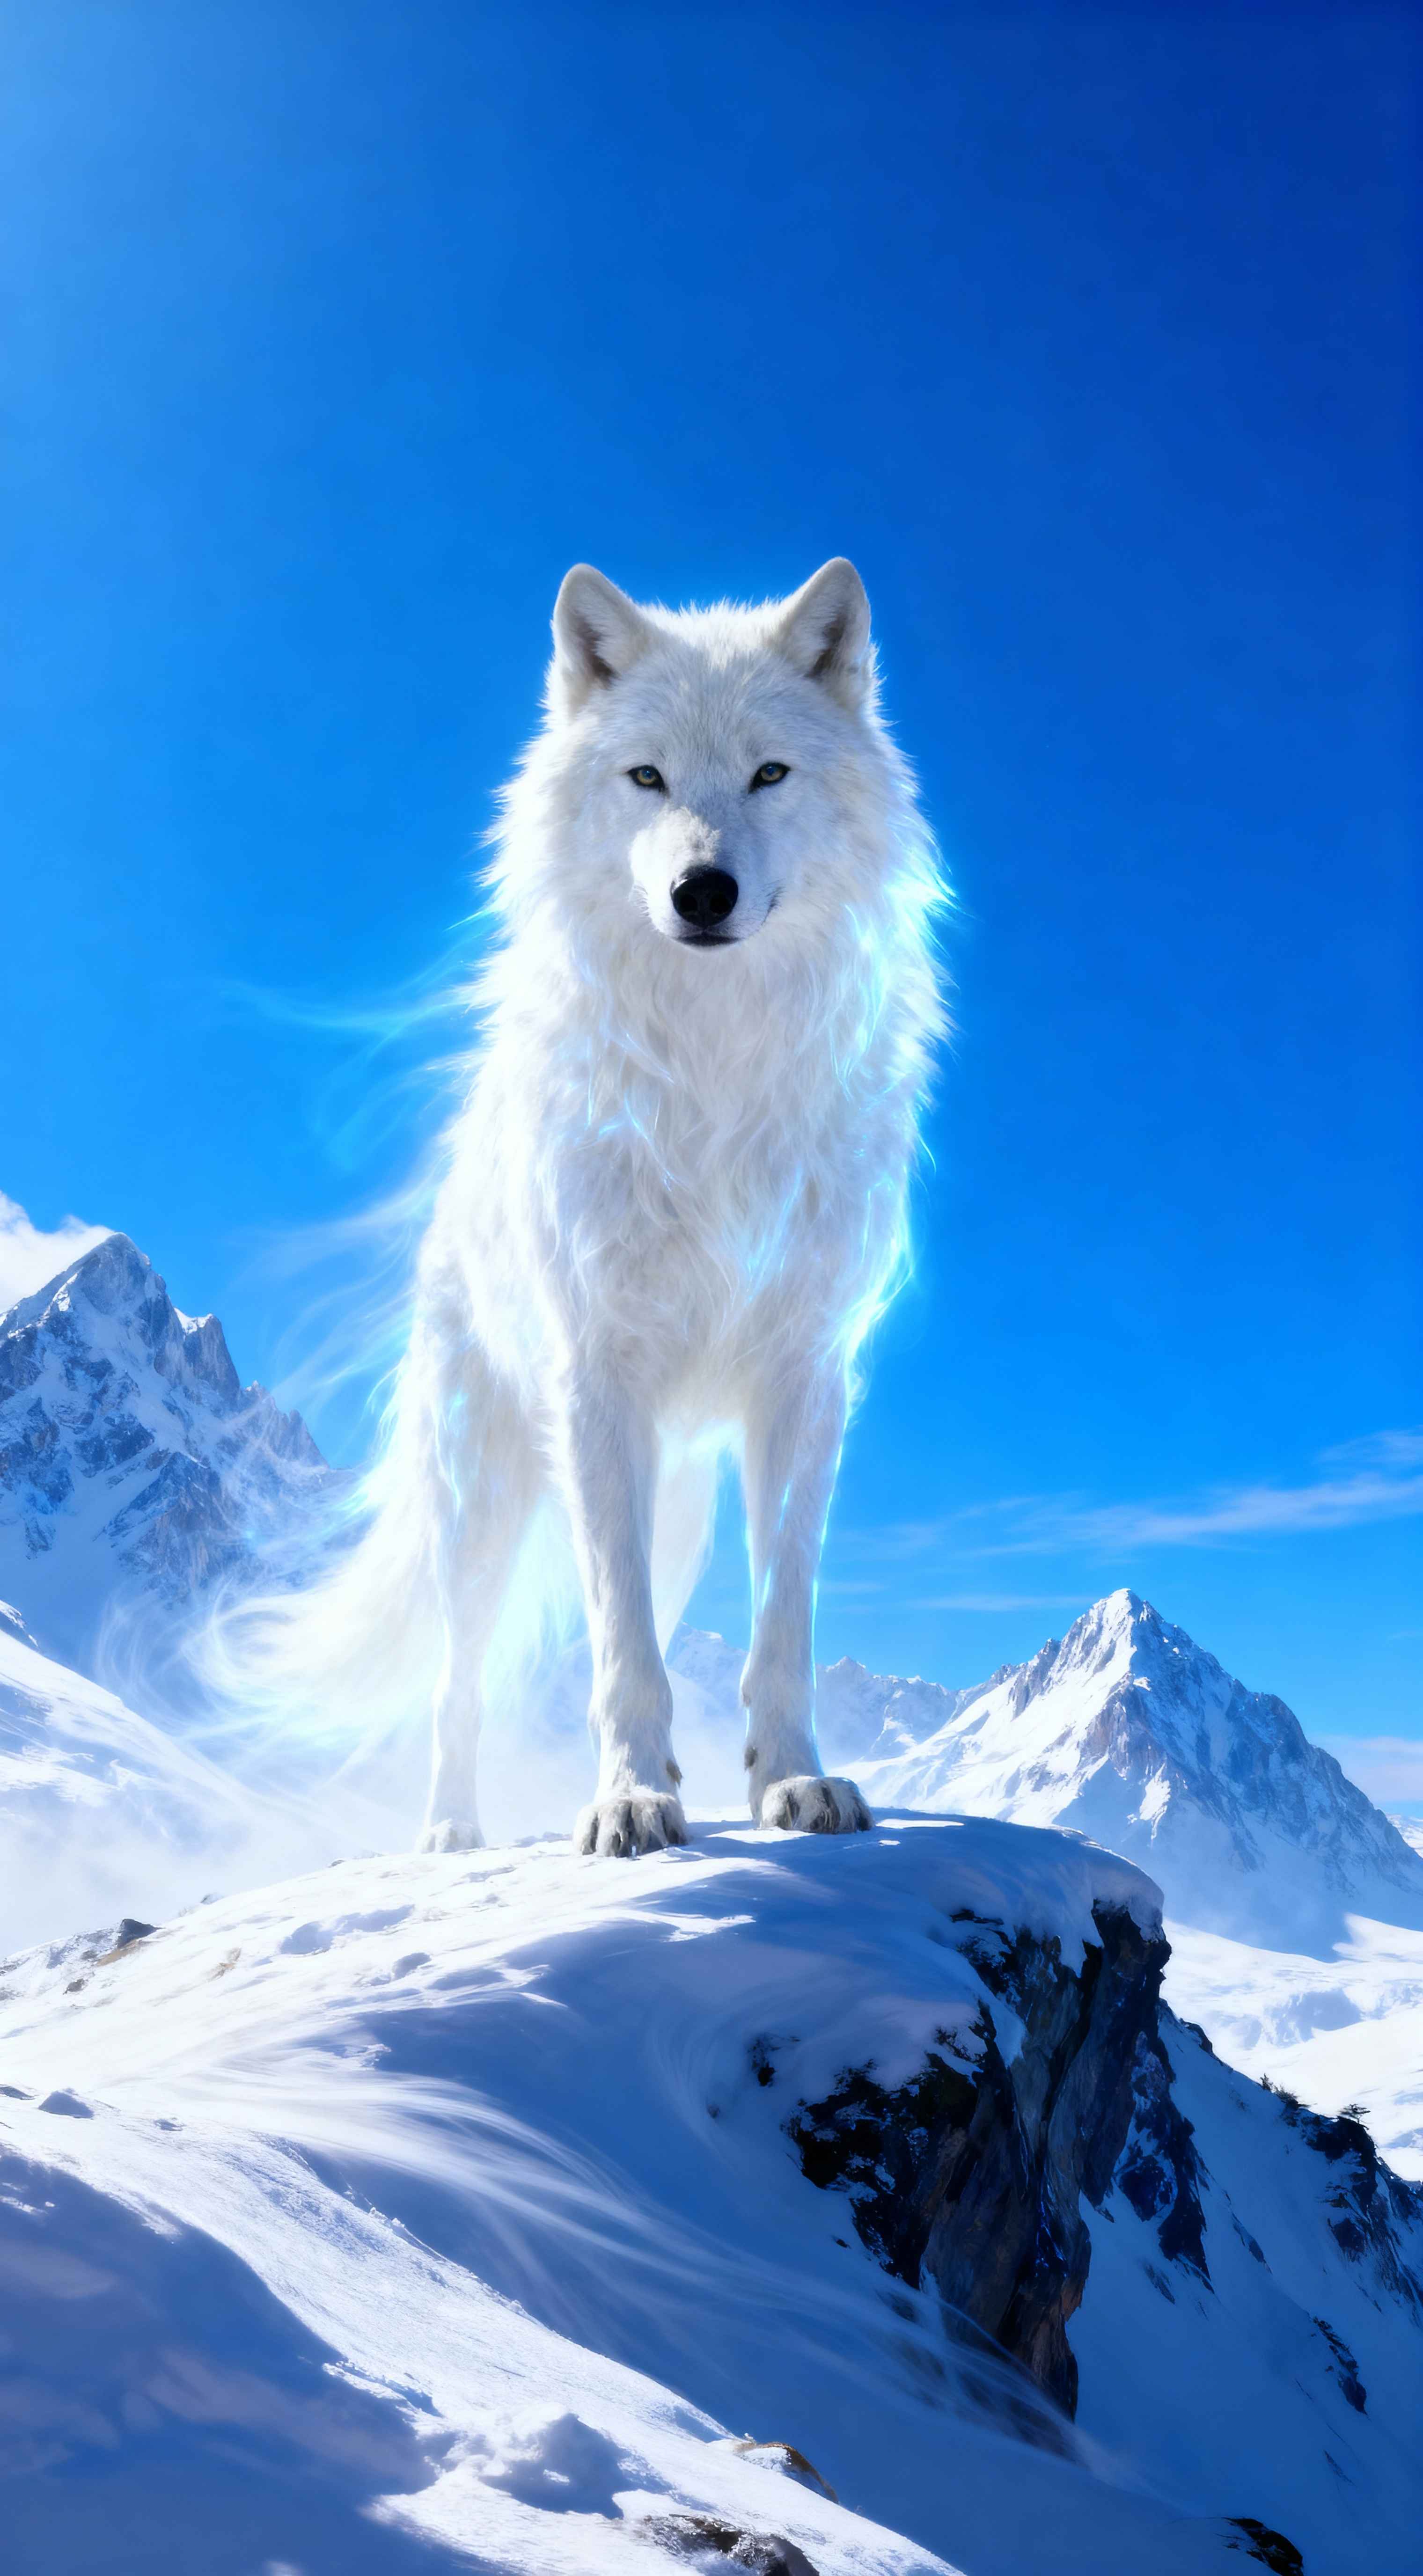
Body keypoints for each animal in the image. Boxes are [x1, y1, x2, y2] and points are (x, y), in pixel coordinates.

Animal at [240, 560, 943, 1855]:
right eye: (647, 777)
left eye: (769, 773)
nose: (701, 890)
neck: (716, 1070)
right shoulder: (596, 1377)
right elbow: (618, 1644)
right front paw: (627, 1799)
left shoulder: (804, 1379)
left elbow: (780, 1626)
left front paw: (792, 1783)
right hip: (488, 1497)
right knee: (460, 1680)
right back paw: (452, 1835)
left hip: (678, 1500)